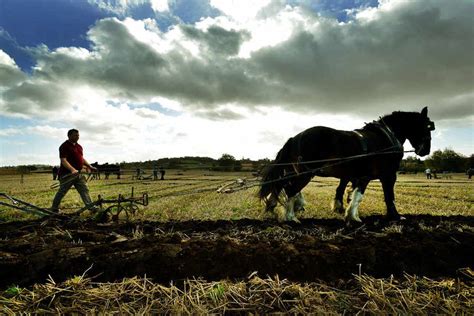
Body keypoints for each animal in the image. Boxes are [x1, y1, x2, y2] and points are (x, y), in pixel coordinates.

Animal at [262, 107, 436, 223]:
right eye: (427, 127)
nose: (426, 150)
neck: (386, 136)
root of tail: (295, 138)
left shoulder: (360, 176)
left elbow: (354, 194)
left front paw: (351, 215)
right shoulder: (388, 175)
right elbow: (387, 196)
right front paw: (395, 215)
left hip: (295, 171)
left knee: (281, 185)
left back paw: (274, 207)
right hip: (305, 173)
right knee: (290, 189)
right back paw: (291, 217)